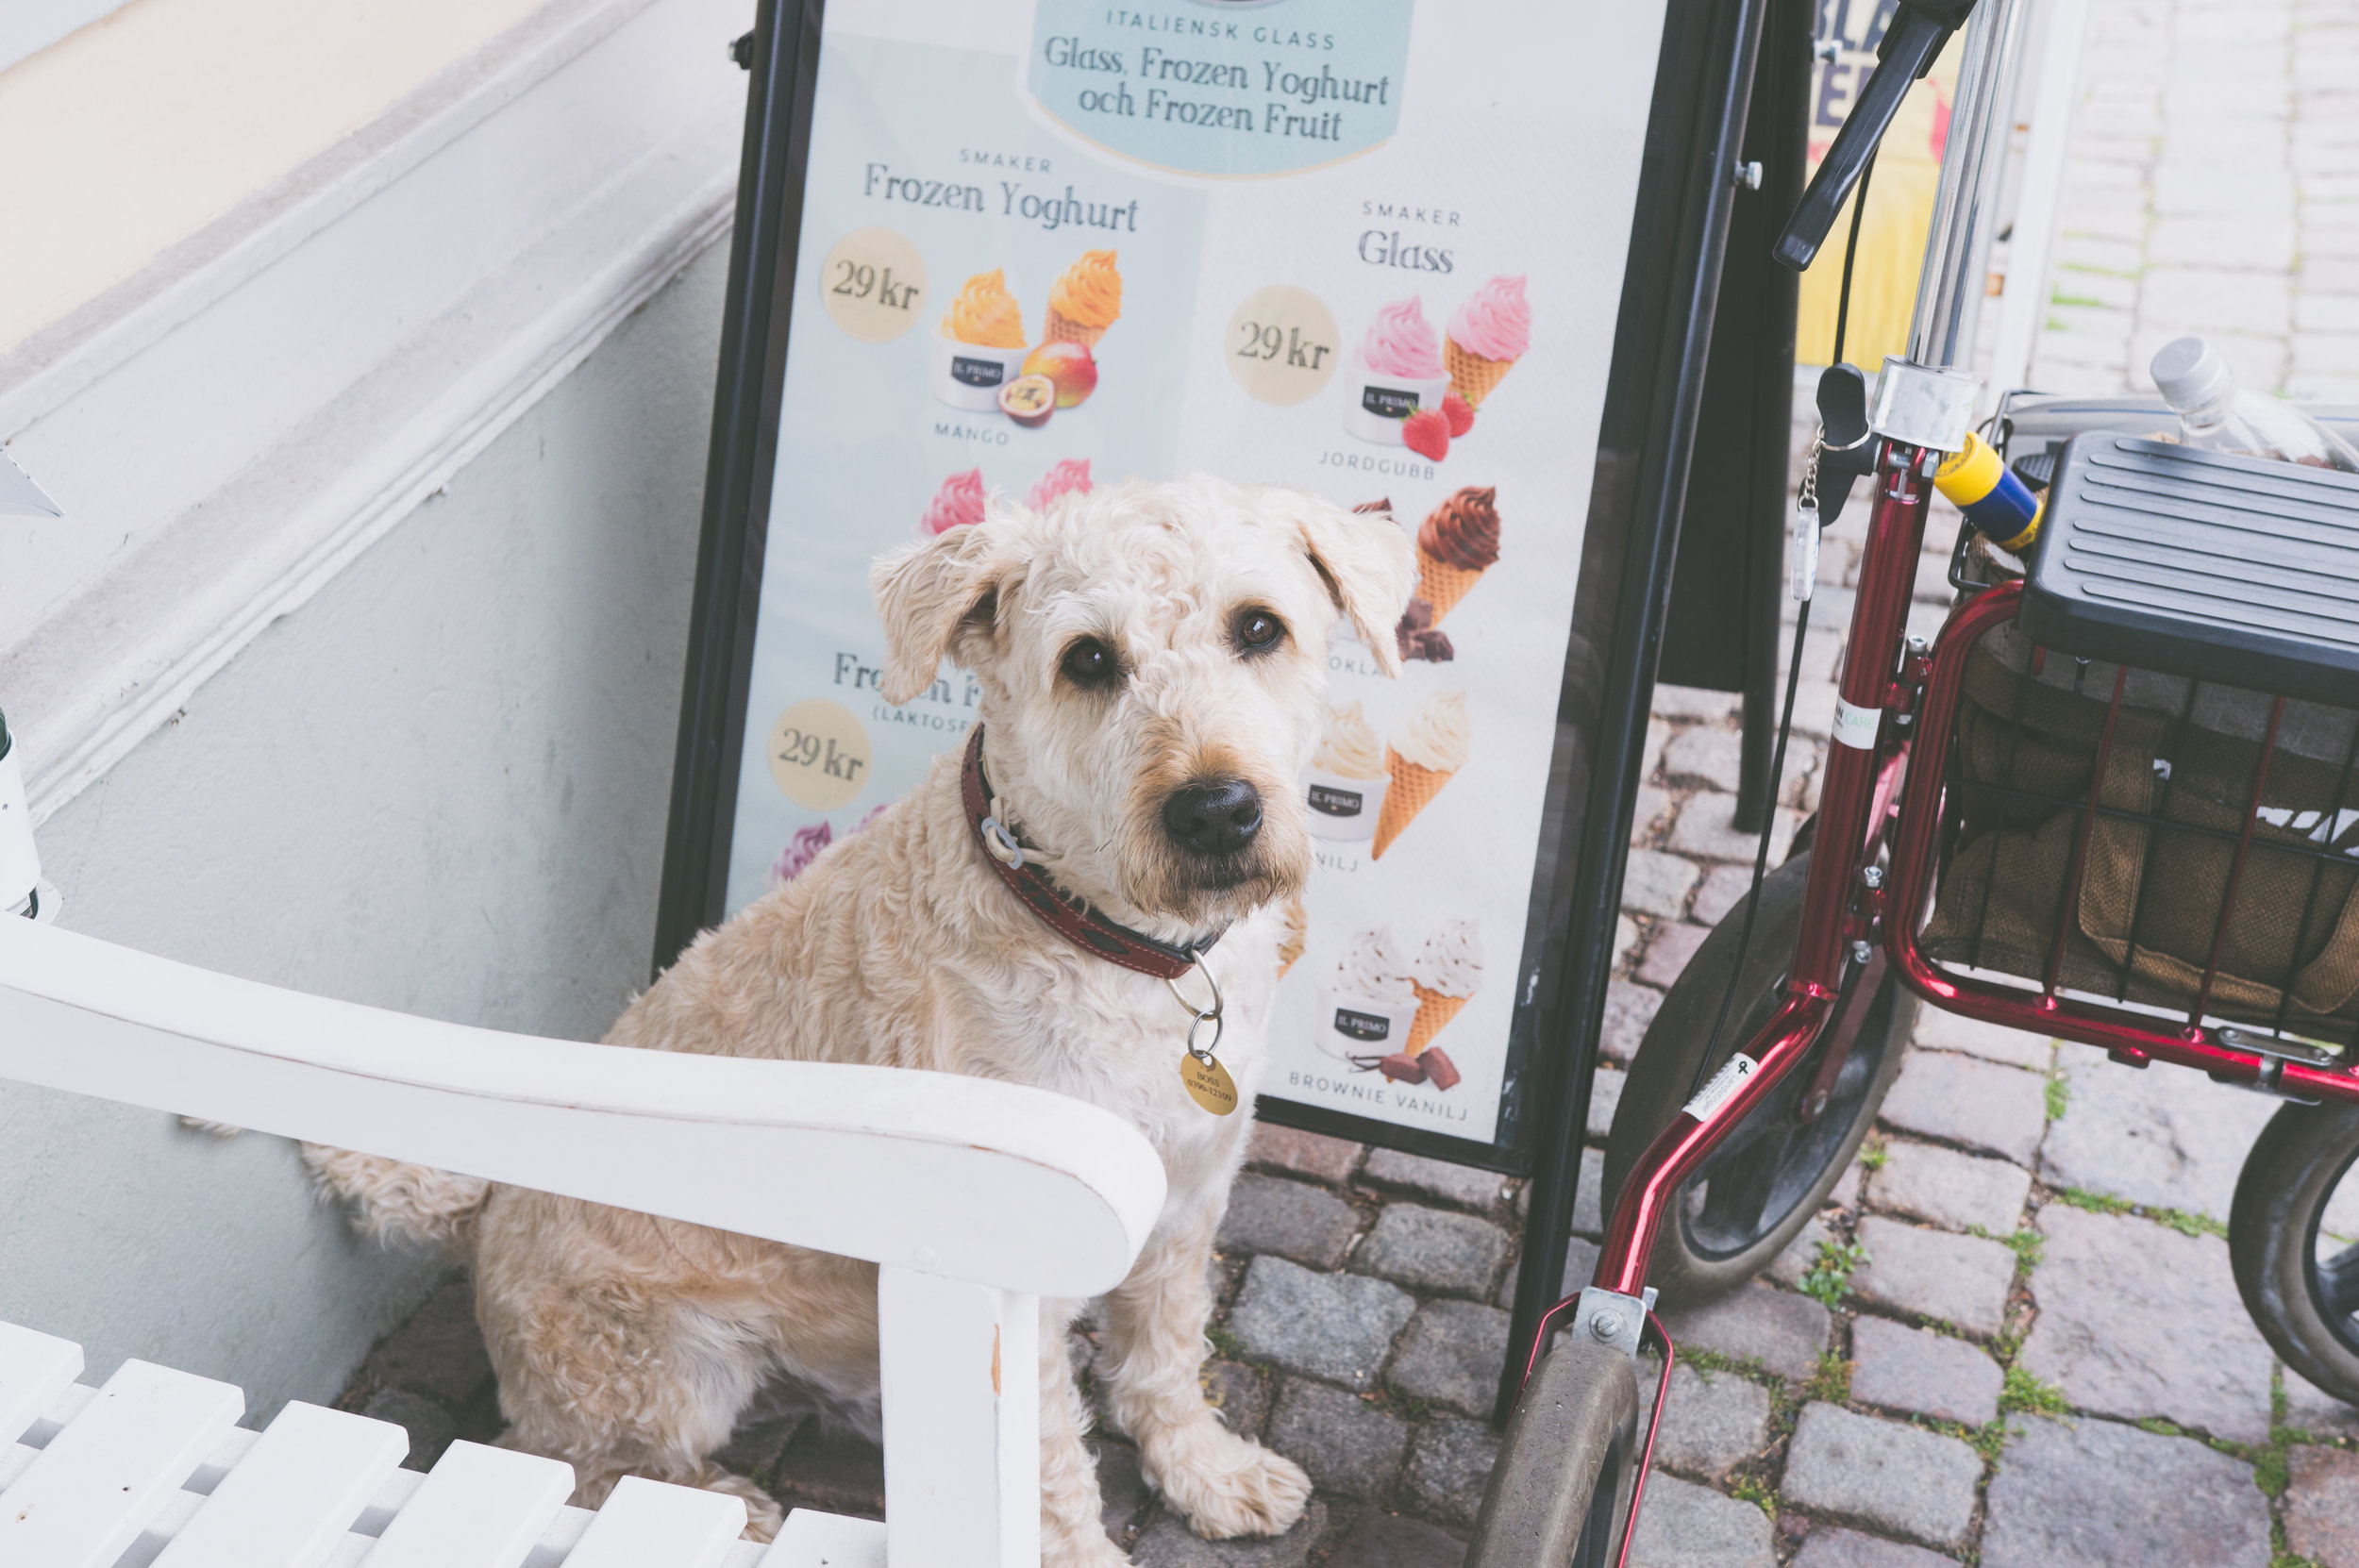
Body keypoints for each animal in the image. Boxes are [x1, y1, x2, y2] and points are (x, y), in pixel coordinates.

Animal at [306, 474, 1416, 1561]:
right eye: (1088, 659)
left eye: (1259, 627)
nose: (1217, 812)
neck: (1101, 935)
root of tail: (486, 1211)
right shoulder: (1019, 1294)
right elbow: (1051, 1473)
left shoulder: (1186, 1206)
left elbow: (1166, 1361)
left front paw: (1208, 1476)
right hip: (657, 1365)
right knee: (569, 1456)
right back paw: (729, 1511)